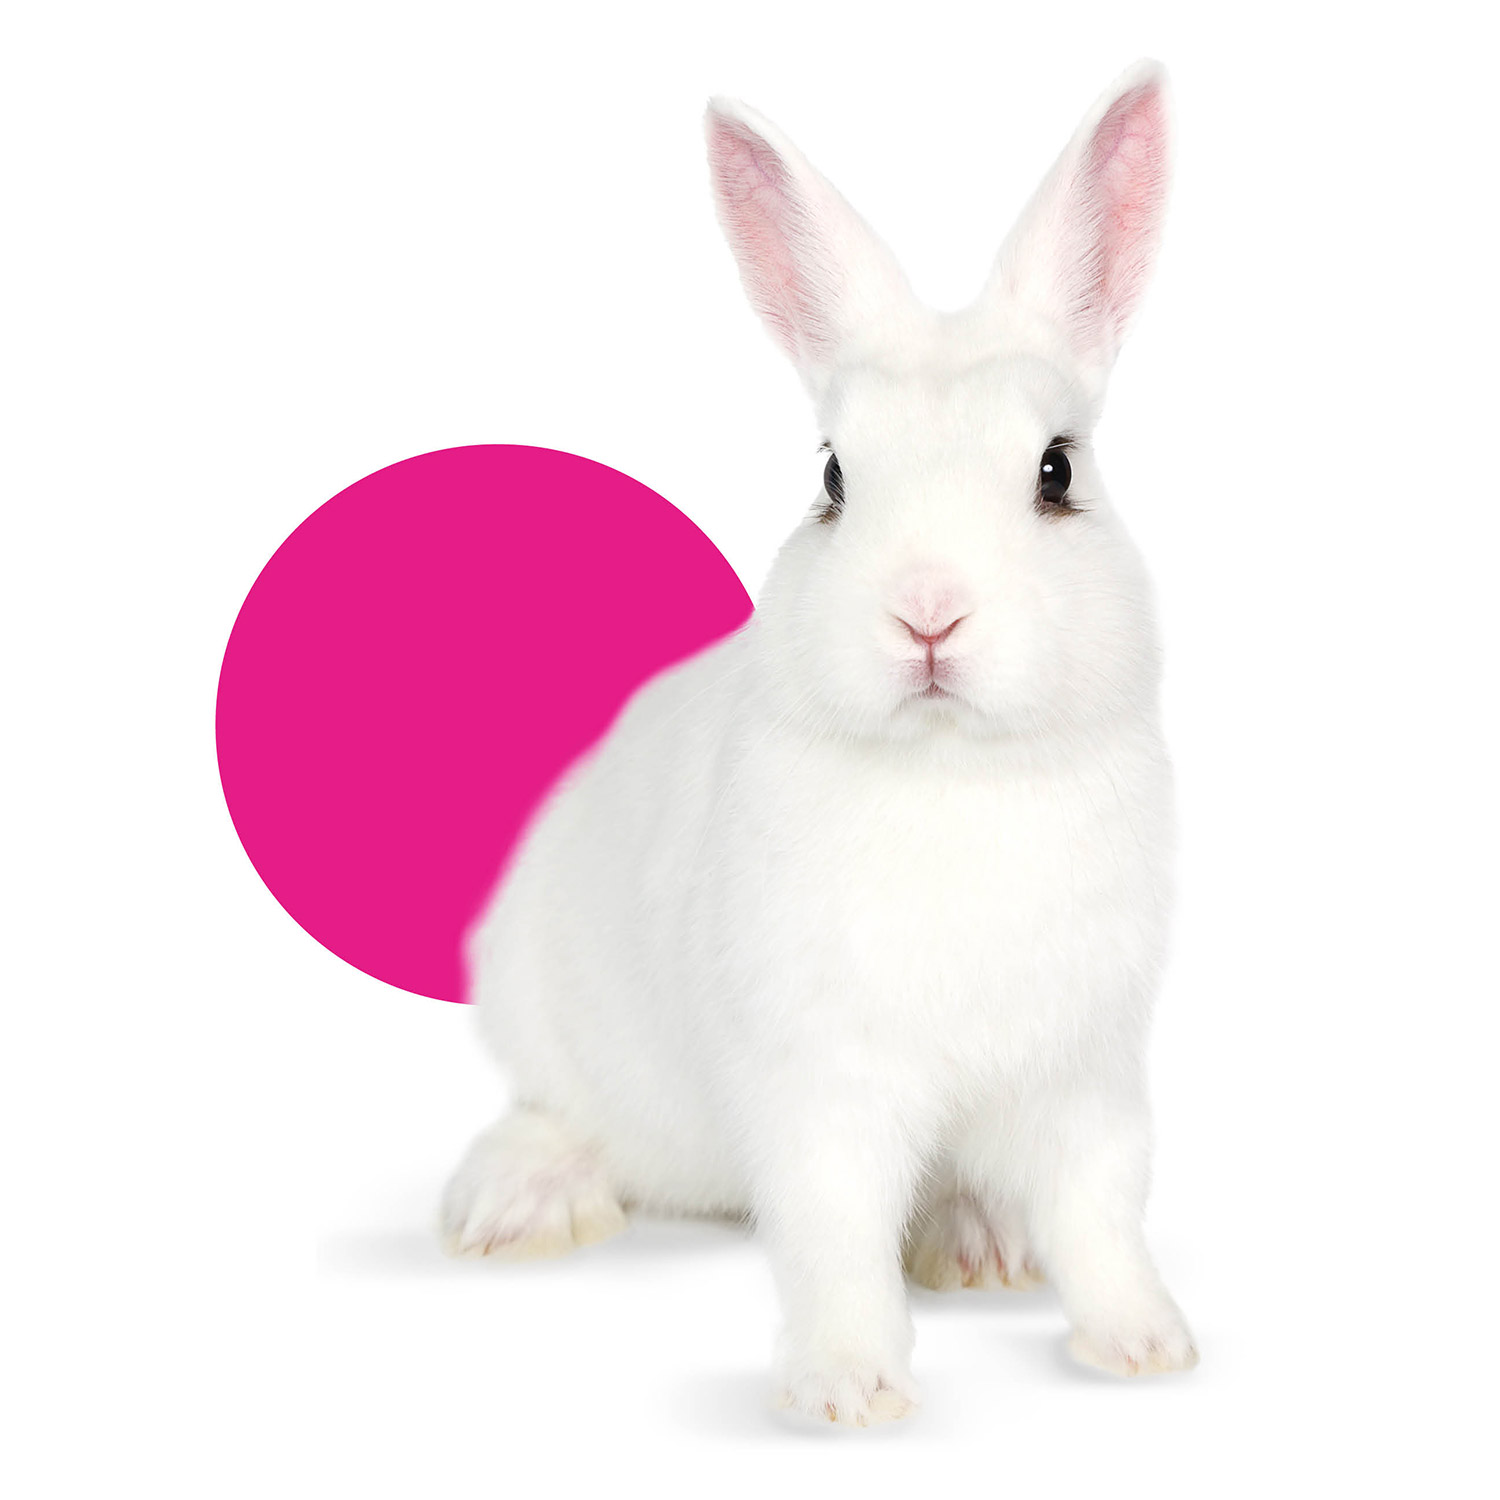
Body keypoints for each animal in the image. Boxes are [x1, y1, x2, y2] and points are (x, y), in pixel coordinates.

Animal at [441, 58, 1197, 1426]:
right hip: (538, 1000)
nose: (928, 612)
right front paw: (848, 1392)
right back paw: (518, 1202)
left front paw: (1147, 1346)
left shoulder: (1085, 1073)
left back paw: (982, 1242)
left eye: (1058, 472)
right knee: (560, 1111)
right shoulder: (822, 1084)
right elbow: (836, 1233)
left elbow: (1103, 1211)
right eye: (835, 479)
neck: (954, 773)